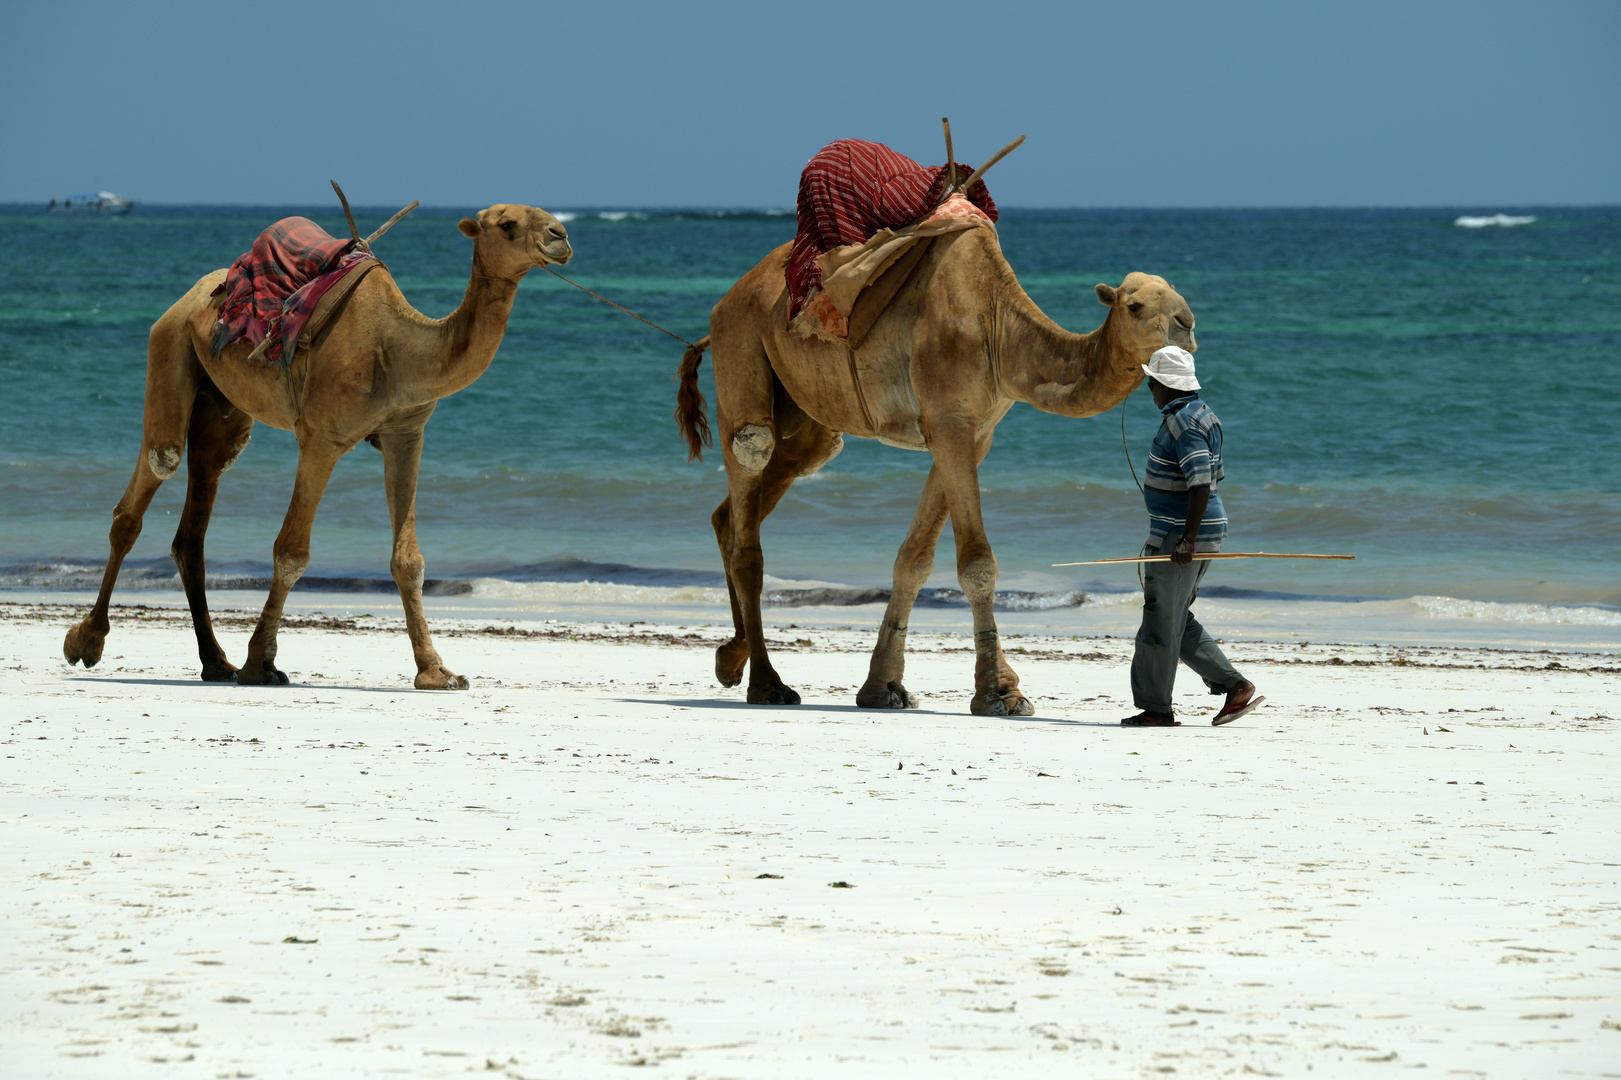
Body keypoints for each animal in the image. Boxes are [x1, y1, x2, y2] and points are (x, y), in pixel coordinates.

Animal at [63, 205, 570, 684]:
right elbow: (291, 552)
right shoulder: (321, 439)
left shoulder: (406, 435)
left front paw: (436, 671)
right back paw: (86, 641)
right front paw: (261, 665)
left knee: (196, 514)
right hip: (168, 344)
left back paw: (215, 662)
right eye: (506, 224)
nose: (561, 236)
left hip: (221, 405)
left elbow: (409, 560)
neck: (397, 349)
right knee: (155, 471)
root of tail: (192, 295)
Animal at [671, 225, 1193, 713]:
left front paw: (883, 688)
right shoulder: (948, 421)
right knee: (750, 461)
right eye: (1135, 305)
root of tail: (726, 301)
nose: (1187, 323)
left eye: (1178, 294)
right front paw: (1000, 692)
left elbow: (913, 561)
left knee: (739, 509)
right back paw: (767, 683)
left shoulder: (973, 431)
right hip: (741, 343)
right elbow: (977, 563)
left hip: (808, 418)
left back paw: (730, 657)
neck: (999, 327)